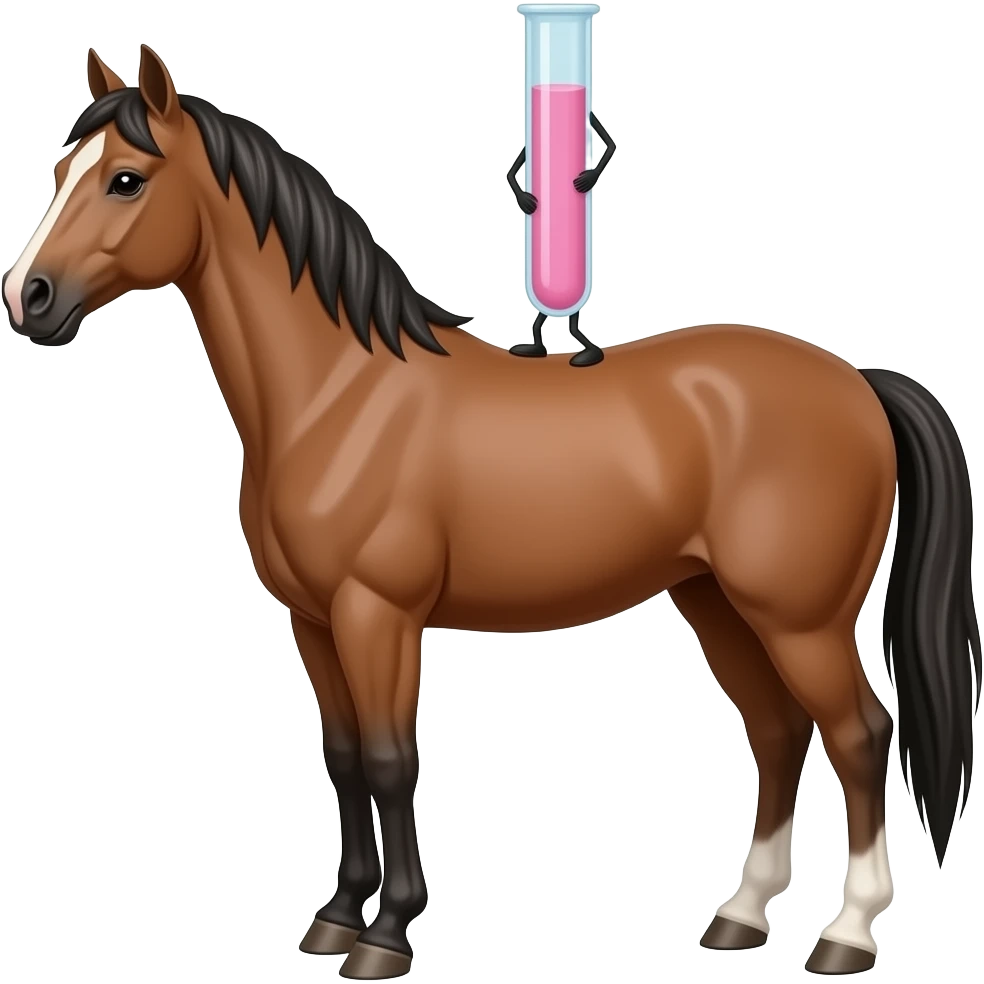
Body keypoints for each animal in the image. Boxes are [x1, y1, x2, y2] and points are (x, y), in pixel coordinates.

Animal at [2, 45, 979, 980]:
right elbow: (344, 759)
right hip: (718, 604)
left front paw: (386, 936)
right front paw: (334, 918)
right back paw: (740, 918)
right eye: (59, 169)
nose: (28, 297)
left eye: (126, 179)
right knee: (779, 736)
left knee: (860, 737)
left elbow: (391, 761)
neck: (337, 395)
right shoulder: (313, 622)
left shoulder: (378, 615)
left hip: (800, 619)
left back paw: (848, 934)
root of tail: (857, 382)